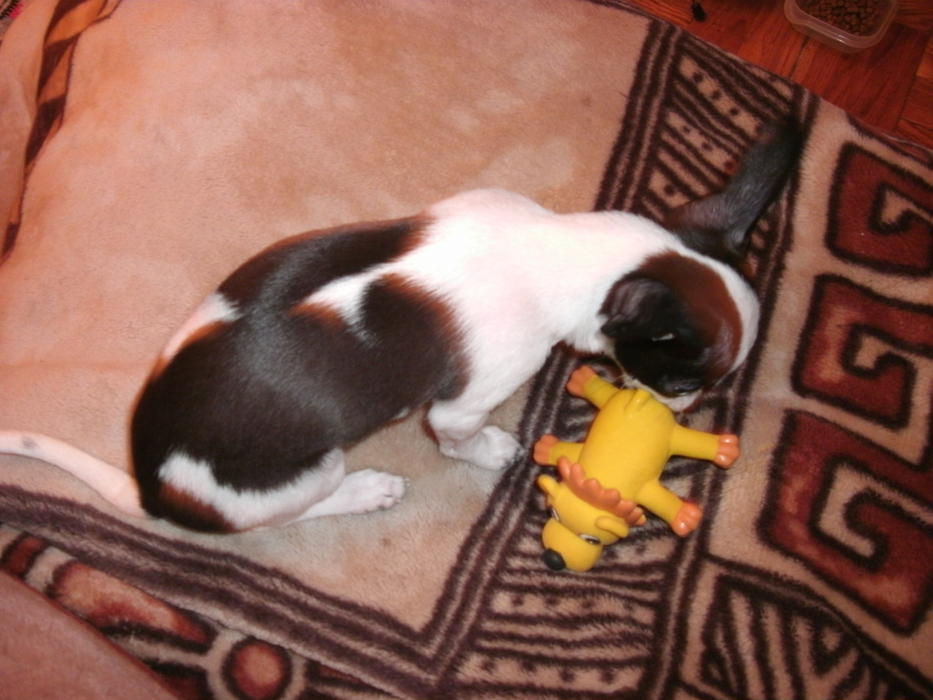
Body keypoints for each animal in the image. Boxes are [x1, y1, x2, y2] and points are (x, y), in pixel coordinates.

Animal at [1, 121, 802, 532]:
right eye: (679, 379)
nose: (682, 409)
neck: (555, 246)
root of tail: (152, 488)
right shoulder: (460, 406)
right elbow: (465, 440)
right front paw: (494, 453)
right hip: (308, 469)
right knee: (294, 514)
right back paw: (365, 492)